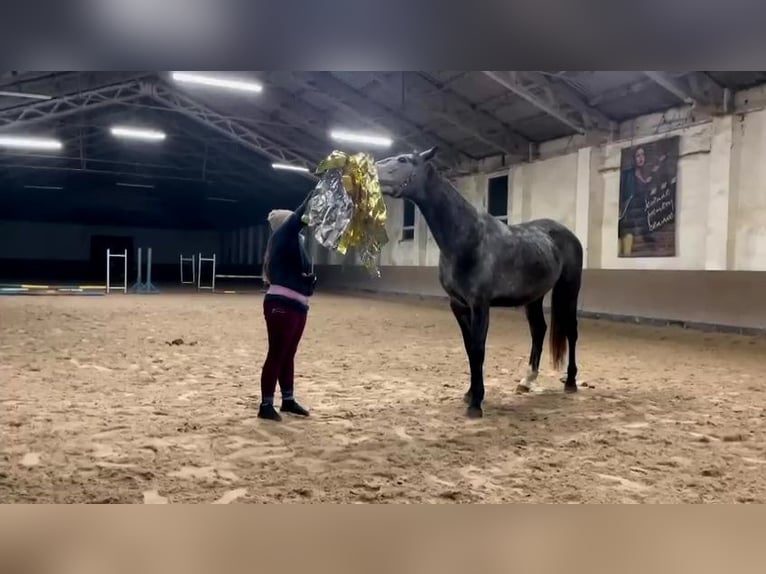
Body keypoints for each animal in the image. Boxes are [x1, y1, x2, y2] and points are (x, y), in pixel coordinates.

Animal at [376, 147, 584, 418]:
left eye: (403, 160)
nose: (373, 169)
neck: (467, 238)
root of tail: (568, 234)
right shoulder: (458, 305)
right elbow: (469, 349)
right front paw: (470, 394)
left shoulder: (480, 305)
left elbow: (478, 349)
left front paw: (475, 404)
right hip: (534, 297)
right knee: (539, 330)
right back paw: (527, 381)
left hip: (569, 290)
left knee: (571, 331)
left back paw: (570, 382)